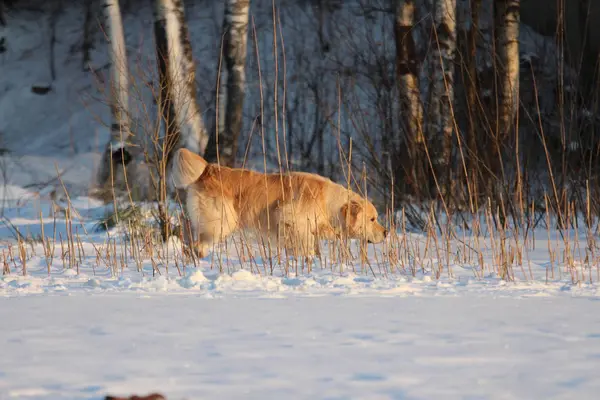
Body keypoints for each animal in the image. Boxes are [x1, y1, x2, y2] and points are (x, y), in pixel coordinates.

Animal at [170, 148, 384, 258]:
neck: (327, 201)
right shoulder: (291, 219)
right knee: (199, 241)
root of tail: (209, 168)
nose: (387, 232)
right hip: (222, 221)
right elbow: (304, 244)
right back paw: (196, 253)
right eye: (372, 219)